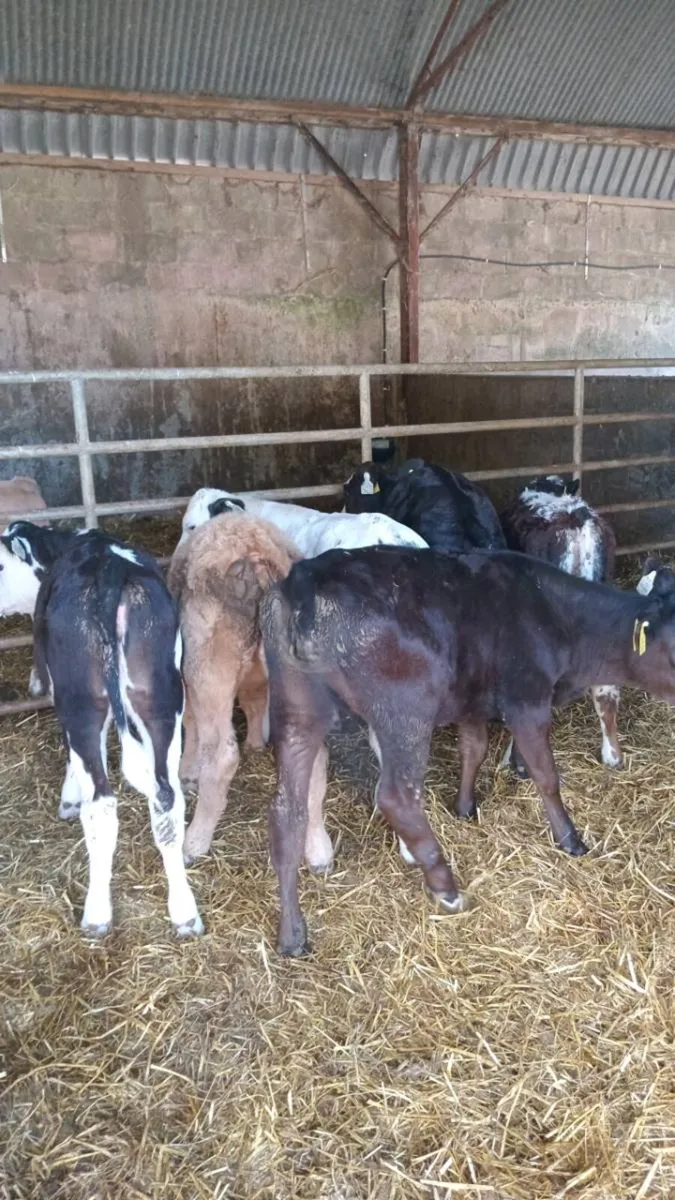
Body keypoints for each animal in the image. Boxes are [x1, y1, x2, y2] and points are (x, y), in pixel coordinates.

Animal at [0, 522, 203, 939]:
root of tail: (110, 571)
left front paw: (69, 796)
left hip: (82, 703)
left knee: (102, 807)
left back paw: (97, 913)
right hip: (163, 698)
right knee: (166, 798)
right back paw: (184, 911)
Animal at [167, 512, 333, 867]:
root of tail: (258, 554)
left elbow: (189, 723)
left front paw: (187, 774)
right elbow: (255, 702)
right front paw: (257, 743)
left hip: (209, 667)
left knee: (221, 755)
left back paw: (194, 842)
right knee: (315, 756)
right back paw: (318, 848)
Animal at [262, 544, 675, 956]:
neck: (558, 616)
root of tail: (306, 577)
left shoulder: (472, 700)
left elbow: (474, 750)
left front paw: (465, 807)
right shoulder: (526, 701)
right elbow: (546, 776)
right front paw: (570, 839)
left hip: (297, 710)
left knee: (287, 812)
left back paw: (292, 935)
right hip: (404, 711)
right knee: (396, 797)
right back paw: (445, 887)